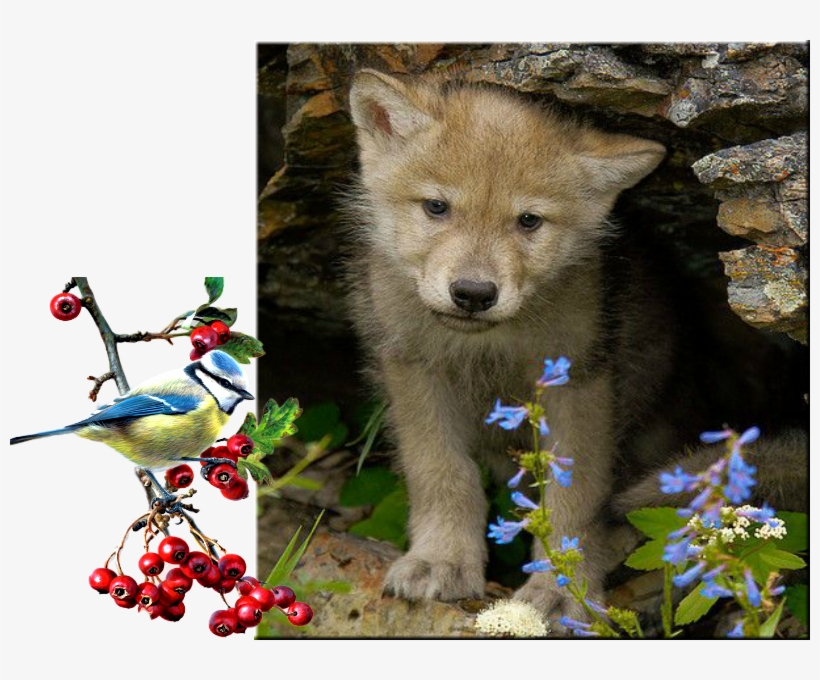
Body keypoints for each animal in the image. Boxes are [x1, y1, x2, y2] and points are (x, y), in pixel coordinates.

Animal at [345, 69, 806, 618]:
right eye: (437, 207)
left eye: (528, 221)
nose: (474, 294)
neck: (488, 346)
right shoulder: (414, 368)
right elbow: (441, 474)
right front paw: (441, 561)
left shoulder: (579, 383)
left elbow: (575, 498)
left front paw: (564, 590)